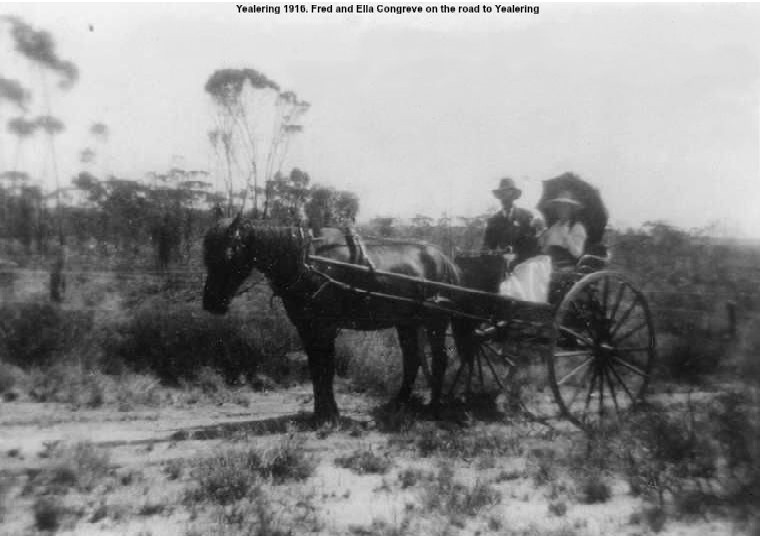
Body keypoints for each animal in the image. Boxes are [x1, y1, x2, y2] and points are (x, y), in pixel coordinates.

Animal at [202, 215, 460, 422]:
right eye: (206, 255)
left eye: (229, 255)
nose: (211, 303)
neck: (307, 261)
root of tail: (444, 259)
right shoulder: (306, 328)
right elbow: (317, 369)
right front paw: (321, 413)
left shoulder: (324, 328)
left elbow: (326, 368)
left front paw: (329, 415)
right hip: (407, 323)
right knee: (412, 359)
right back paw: (400, 402)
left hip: (435, 323)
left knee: (439, 360)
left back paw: (433, 407)